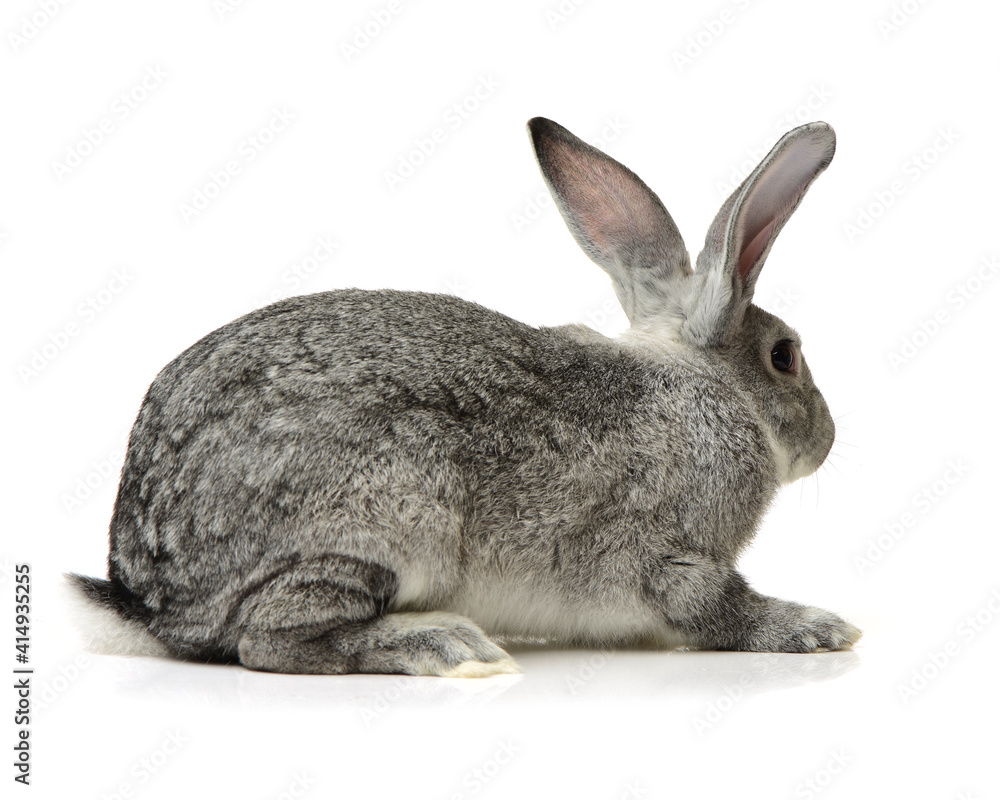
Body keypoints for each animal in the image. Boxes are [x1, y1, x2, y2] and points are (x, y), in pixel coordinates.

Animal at [67, 117, 861, 677]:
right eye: (785, 356)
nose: (828, 439)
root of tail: (153, 603)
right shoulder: (667, 556)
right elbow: (719, 607)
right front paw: (823, 628)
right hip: (389, 515)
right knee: (273, 640)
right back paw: (447, 647)